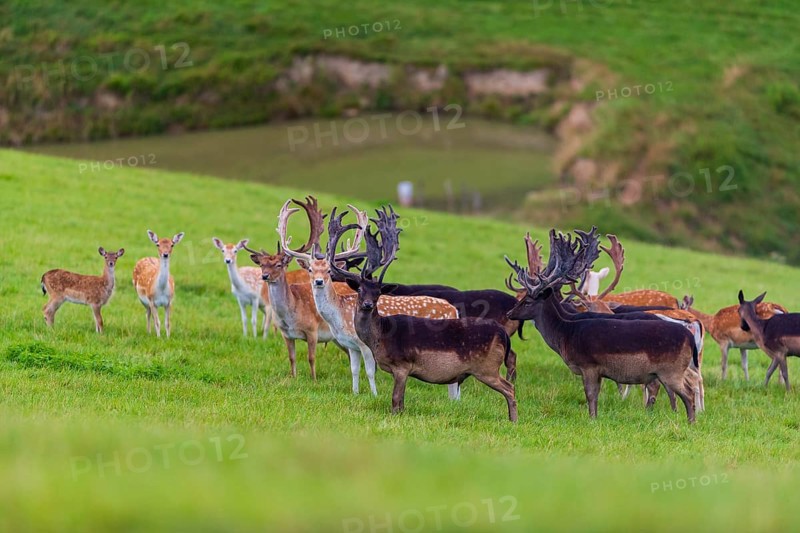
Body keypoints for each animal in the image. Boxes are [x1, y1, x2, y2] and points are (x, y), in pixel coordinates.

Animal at [245, 196, 348, 380]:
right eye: (262, 264)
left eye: (279, 264)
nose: (265, 276)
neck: (291, 316)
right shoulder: (286, 334)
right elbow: (291, 357)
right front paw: (293, 377)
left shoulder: (312, 330)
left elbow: (311, 358)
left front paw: (314, 380)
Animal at [280, 204, 461, 397]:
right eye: (310, 270)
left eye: (329, 270)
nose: (319, 282)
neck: (340, 316)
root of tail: (454, 310)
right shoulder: (351, 346)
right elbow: (354, 370)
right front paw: (355, 393)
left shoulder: (365, 345)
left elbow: (369, 371)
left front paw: (374, 394)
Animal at [333, 206, 517, 421]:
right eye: (360, 290)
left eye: (378, 292)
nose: (368, 304)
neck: (380, 337)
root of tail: (503, 334)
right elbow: (401, 402)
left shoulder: (402, 365)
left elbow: (396, 400)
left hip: (487, 367)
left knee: (510, 388)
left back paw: (513, 420)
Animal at [506, 227, 699, 423]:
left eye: (528, 300)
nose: (509, 313)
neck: (565, 333)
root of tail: (689, 337)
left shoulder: (589, 365)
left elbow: (591, 394)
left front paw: (592, 419)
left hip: (671, 371)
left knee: (688, 393)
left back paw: (690, 422)